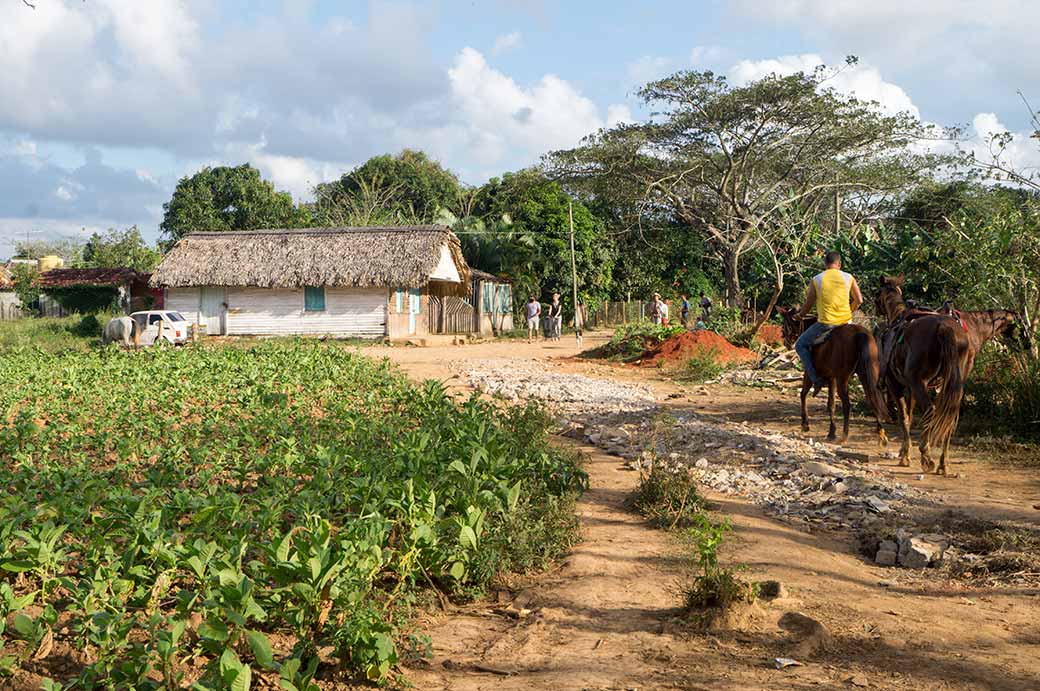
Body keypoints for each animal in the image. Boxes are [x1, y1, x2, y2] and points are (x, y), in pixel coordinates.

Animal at [777, 305, 890, 445]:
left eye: (785, 324)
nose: (786, 343)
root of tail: (860, 333)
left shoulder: (809, 372)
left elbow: (803, 394)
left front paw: (805, 424)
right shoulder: (832, 378)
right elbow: (831, 404)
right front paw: (831, 432)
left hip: (843, 378)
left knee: (847, 404)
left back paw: (845, 435)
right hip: (867, 373)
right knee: (873, 397)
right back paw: (881, 434)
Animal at [873, 276, 1027, 474]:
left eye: (877, 294)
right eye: (1020, 324)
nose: (1028, 343)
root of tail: (944, 328)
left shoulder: (897, 384)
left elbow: (905, 417)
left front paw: (905, 456)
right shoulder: (914, 387)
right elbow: (911, 414)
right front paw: (904, 452)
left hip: (919, 382)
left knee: (931, 411)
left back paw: (927, 456)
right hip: (951, 383)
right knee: (950, 415)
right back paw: (942, 462)